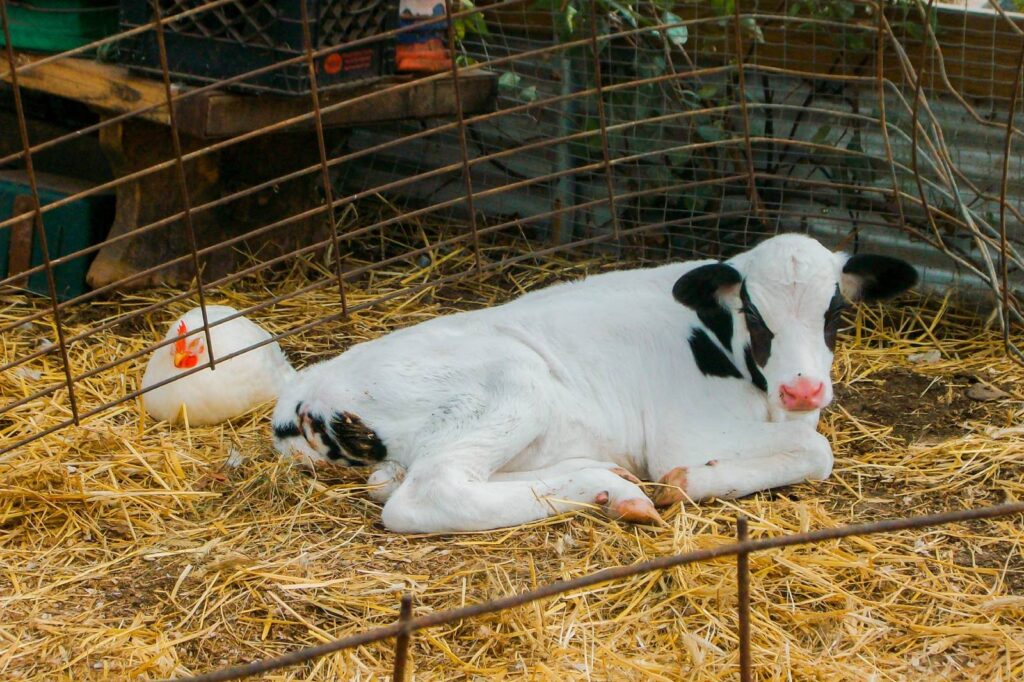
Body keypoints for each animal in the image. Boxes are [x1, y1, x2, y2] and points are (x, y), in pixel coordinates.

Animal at [270, 233, 913, 532]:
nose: (803, 390)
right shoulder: (685, 434)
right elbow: (818, 450)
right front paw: (688, 483)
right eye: (754, 313)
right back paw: (612, 488)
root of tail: (302, 391)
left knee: (398, 482)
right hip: (516, 383)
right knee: (430, 491)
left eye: (835, 311)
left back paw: (606, 483)